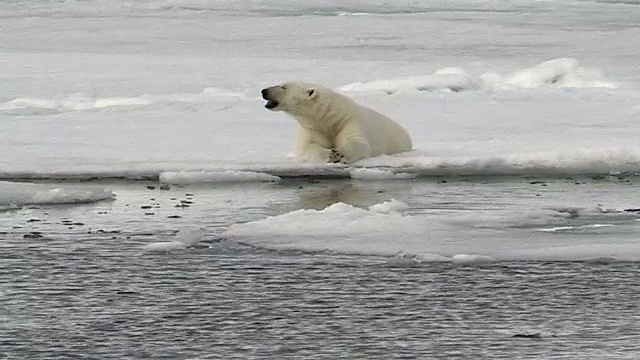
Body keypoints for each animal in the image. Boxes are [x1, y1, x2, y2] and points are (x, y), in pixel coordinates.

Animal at [262, 81, 412, 163]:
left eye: (284, 86)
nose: (264, 91)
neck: (328, 119)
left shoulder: (349, 121)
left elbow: (358, 143)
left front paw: (339, 153)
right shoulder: (312, 128)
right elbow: (307, 146)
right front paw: (329, 154)